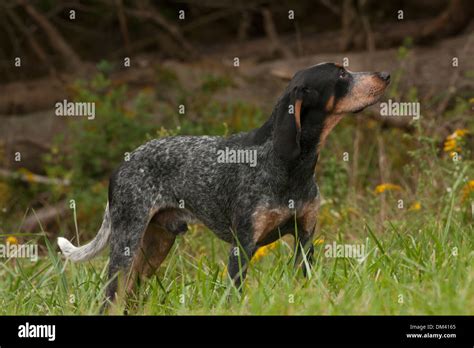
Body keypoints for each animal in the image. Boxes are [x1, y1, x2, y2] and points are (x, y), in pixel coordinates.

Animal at [57, 62, 388, 308]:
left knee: (129, 296)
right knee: (110, 298)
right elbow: (233, 297)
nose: (385, 75)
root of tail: (122, 164)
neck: (292, 166)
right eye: (341, 75)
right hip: (127, 244)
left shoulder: (305, 239)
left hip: (155, 246)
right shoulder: (242, 247)